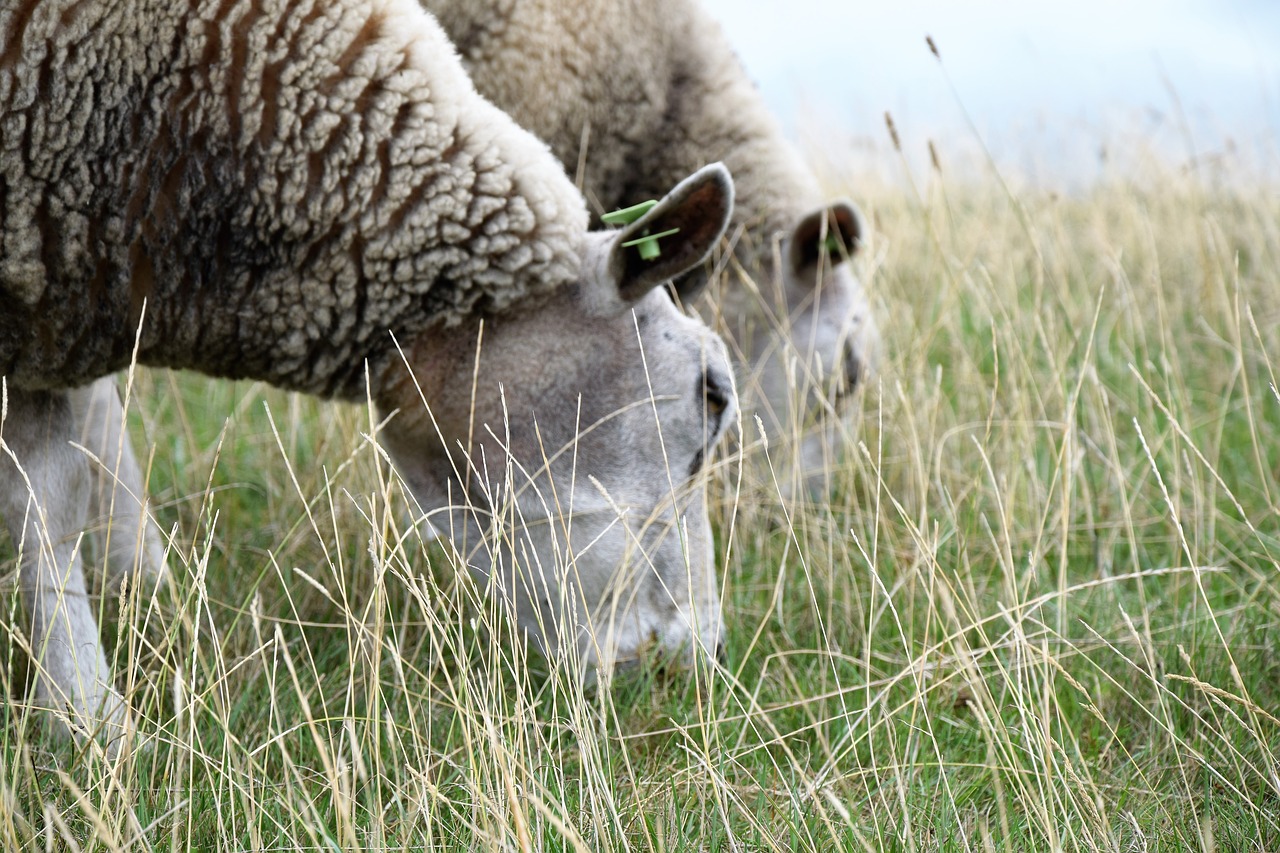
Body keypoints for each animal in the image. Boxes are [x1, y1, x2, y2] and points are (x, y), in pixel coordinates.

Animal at [0, 0, 737, 747]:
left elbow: (48, 489)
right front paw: (90, 719)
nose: (701, 659)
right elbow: (51, 500)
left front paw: (85, 709)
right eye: (712, 395)